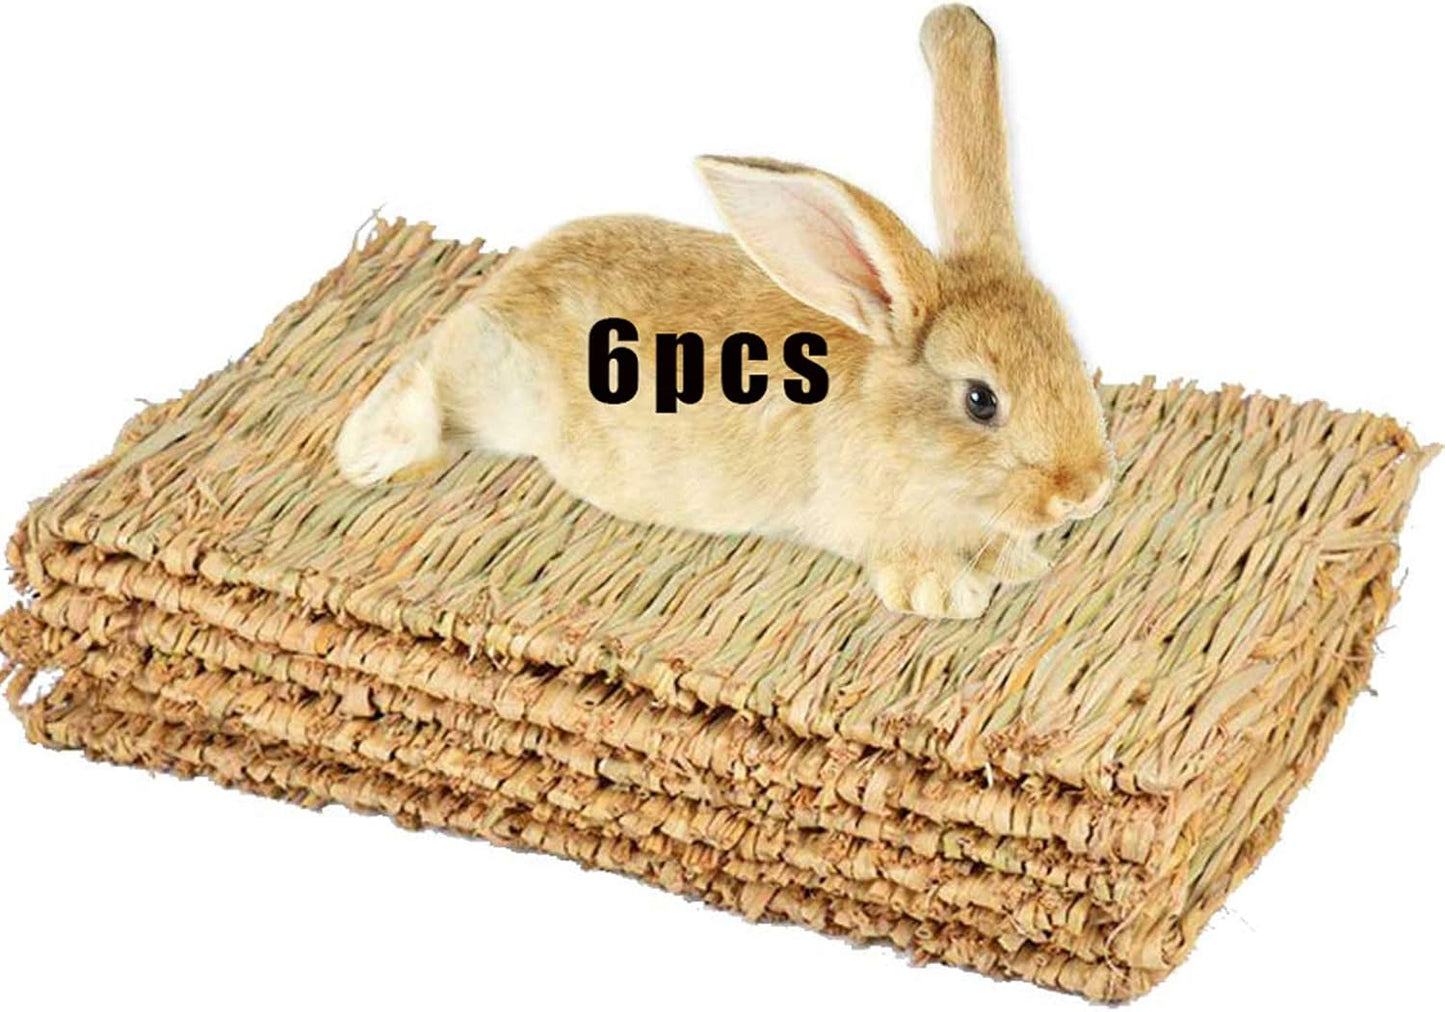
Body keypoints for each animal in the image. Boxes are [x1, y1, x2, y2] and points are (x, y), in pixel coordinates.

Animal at [335, 4, 1113, 619]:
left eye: (1075, 360)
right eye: (981, 400)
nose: (1085, 491)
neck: (895, 425)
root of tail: (509, 279)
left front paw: (1019, 564)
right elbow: (905, 556)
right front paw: (943, 596)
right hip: (487, 382)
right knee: (425, 374)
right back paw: (374, 453)